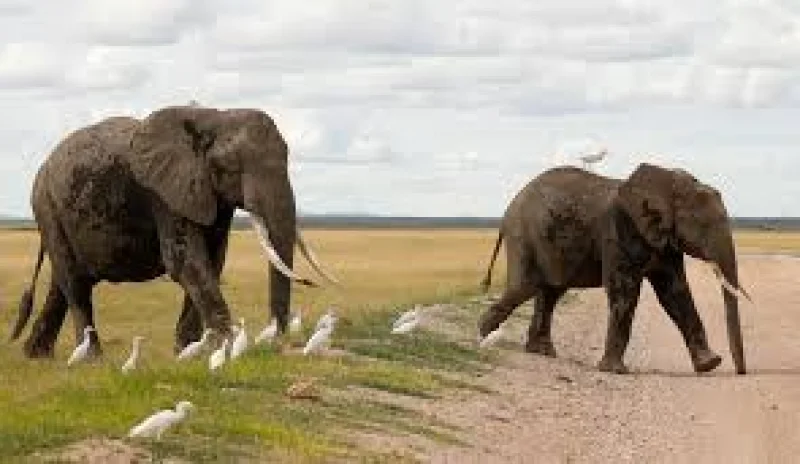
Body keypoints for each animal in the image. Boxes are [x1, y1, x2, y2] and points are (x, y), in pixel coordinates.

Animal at [10, 105, 337, 357]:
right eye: (230, 166)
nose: (278, 342)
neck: (212, 116)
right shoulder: (164, 195)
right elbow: (186, 262)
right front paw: (224, 348)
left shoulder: (208, 196)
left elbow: (212, 261)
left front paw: (189, 352)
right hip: (47, 206)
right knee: (75, 283)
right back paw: (91, 360)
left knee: (63, 283)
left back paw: (36, 356)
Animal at [478, 163, 749, 375]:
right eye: (703, 224)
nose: (740, 372)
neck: (666, 183)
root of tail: (508, 209)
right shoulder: (620, 232)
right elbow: (625, 292)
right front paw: (614, 371)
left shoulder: (664, 241)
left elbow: (676, 293)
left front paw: (710, 364)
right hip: (525, 235)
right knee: (526, 286)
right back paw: (482, 335)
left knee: (550, 291)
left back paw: (540, 351)